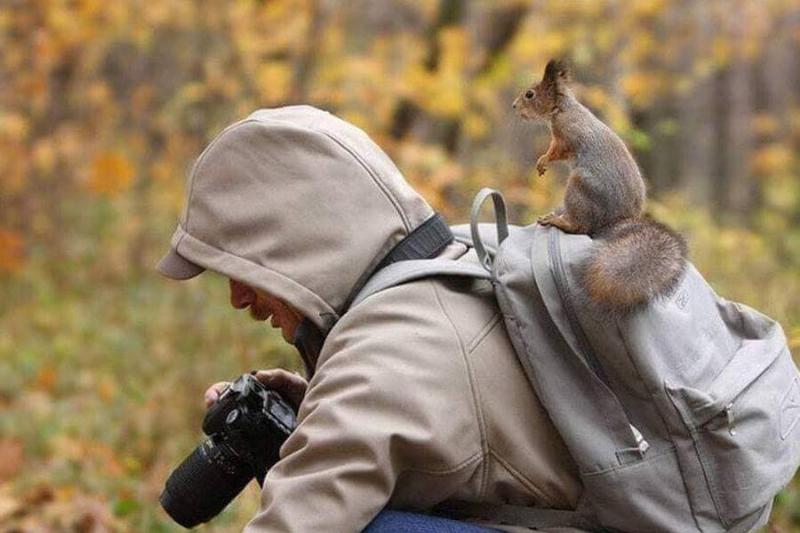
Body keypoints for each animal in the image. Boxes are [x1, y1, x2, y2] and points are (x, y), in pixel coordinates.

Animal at [512, 59, 687, 313]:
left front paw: (543, 161)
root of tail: (616, 221)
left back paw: (557, 220)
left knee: (580, 226)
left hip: (580, 187)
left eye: (530, 94)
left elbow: (555, 151)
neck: (563, 109)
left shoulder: (566, 137)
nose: (514, 106)